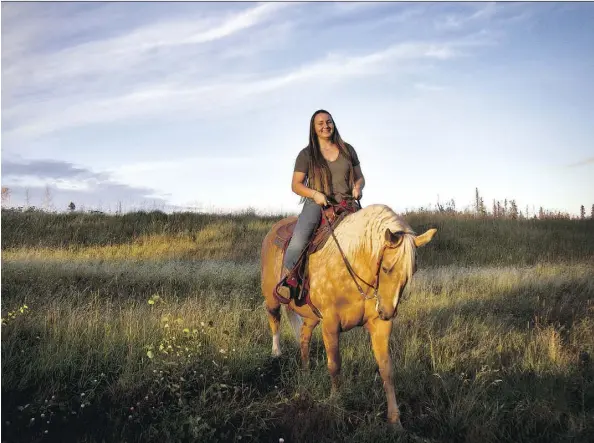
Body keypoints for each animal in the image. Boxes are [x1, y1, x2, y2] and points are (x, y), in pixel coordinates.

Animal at [260, 204, 434, 426]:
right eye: (386, 268)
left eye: (412, 271)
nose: (387, 312)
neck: (352, 264)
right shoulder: (330, 324)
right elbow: (335, 365)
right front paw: (335, 402)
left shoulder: (380, 326)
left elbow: (386, 368)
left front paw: (395, 419)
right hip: (272, 299)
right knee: (274, 319)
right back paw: (276, 352)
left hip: (312, 317)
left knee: (304, 336)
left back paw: (305, 373)